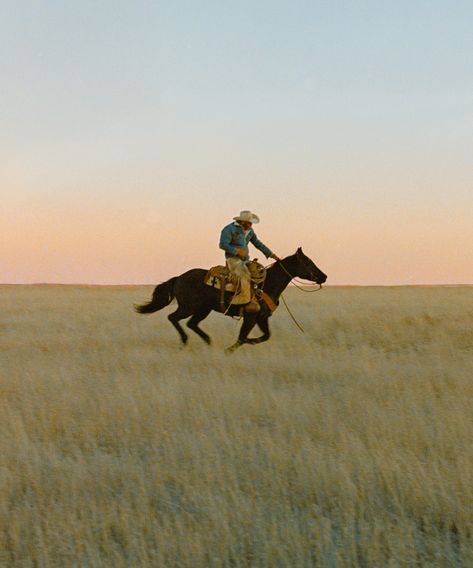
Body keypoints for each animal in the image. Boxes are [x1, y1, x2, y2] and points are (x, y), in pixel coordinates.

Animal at [134, 247, 324, 350]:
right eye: (308, 262)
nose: (324, 276)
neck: (266, 284)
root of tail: (178, 278)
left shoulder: (262, 318)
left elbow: (266, 336)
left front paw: (250, 342)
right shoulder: (251, 317)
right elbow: (242, 337)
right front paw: (230, 350)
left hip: (203, 309)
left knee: (191, 324)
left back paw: (208, 342)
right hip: (188, 307)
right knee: (173, 318)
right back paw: (185, 340)